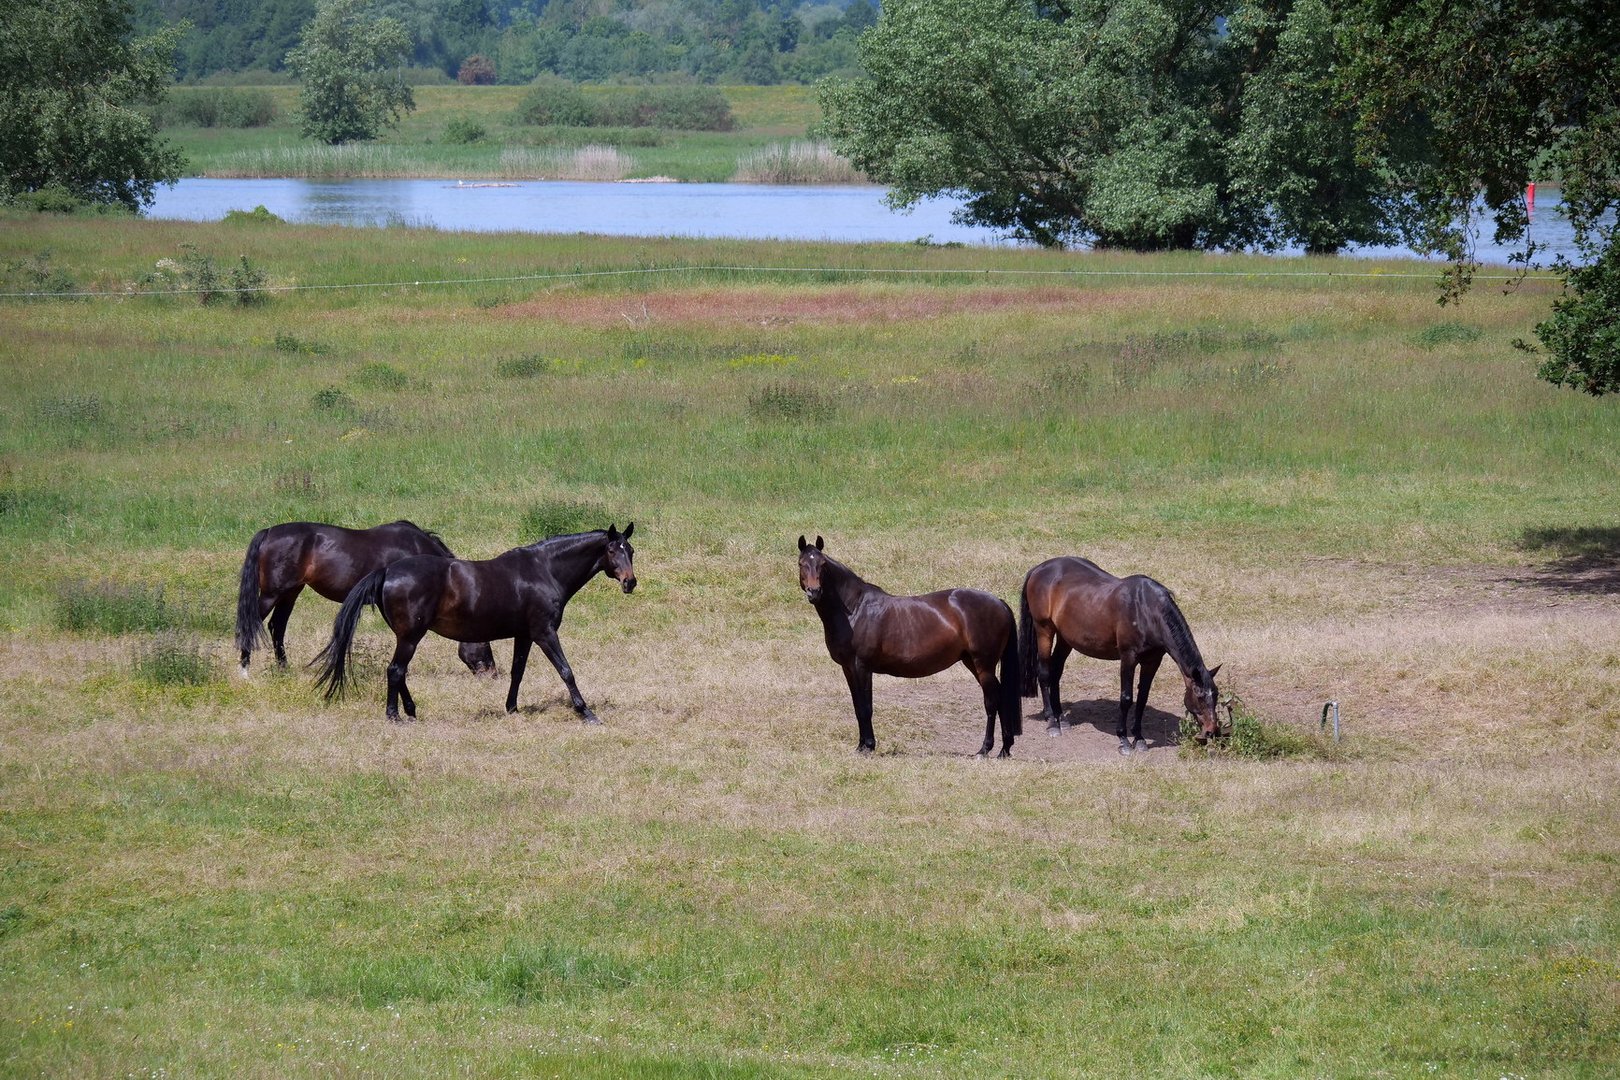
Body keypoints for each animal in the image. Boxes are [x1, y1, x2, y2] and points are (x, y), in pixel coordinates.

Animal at [231, 521, 489, 676]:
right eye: (484, 641)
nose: (491, 671)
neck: (414, 550)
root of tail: (269, 532)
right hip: (272, 594)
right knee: (251, 624)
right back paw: (244, 669)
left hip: (290, 593)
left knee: (277, 627)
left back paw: (283, 669)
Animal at [315, 524, 638, 725]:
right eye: (612, 551)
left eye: (631, 551)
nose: (630, 582)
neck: (543, 570)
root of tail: (387, 571)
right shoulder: (545, 632)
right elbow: (566, 671)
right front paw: (587, 713)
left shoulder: (524, 635)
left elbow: (517, 673)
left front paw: (512, 708)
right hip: (410, 637)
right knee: (395, 670)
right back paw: (395, 716)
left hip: (406, 637)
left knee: (399, 672)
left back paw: (411, 711)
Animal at [793, 534, 1017, 757]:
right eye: (801, 564)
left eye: (822, 564)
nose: (814, 592)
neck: (854, 609)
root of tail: (1000, 603)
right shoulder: (848, 668)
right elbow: (858, 706)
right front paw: (860, 746)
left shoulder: (862, 667)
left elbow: (866, 708)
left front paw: (869, 746)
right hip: (972, 662)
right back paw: (1004, 749)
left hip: (983, 664)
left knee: (992, 702)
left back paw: (985, 749)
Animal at [1017, 553, 1218, 757]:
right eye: (1200, 696)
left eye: (1216, 695)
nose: (1212, 731)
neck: (1147, 611)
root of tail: (1039, 568)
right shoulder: (1128, 658)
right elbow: (1126, 698)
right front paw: (1123, 739)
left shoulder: (1152, 661)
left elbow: (1142, 698)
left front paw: (1139, 739)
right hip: (1044, 630)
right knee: (1044, 674)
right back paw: (1051, 722)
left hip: (1066, 638)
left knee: (1056, 672)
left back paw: (1061, 719)